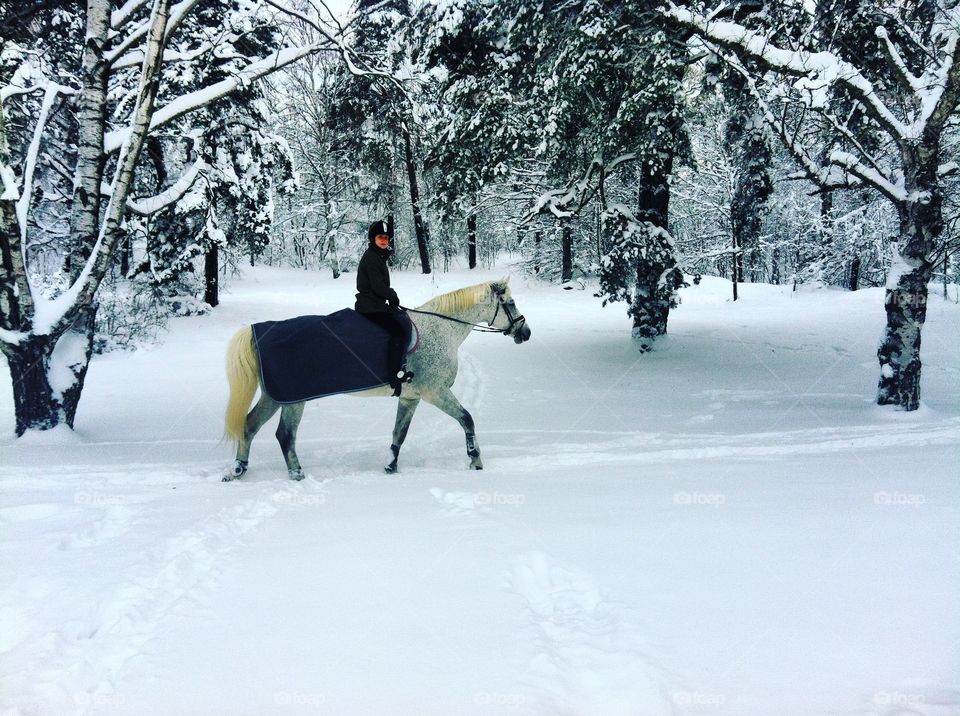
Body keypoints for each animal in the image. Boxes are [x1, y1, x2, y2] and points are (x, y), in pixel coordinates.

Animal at [221, 280, 528, 482]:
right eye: (511, 303)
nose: (525, 332)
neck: (441, 328)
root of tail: (260, 331)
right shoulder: (436, 392)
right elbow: (467, 419)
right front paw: (475, 459)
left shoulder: (411, 397)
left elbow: (398, 434)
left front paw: (390, 467)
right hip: (293, 399)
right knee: (284, 435)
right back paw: (296, 474)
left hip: (275, 396)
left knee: (250, 425)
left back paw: (238, 469)